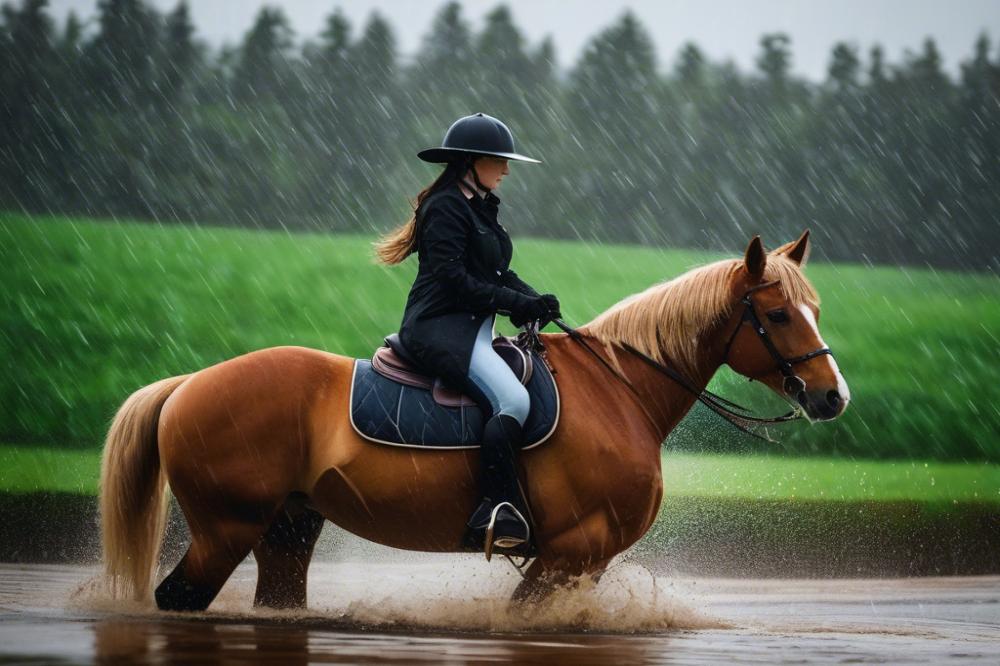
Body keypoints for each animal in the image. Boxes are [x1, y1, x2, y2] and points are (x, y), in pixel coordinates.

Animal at [99, 231, 852, 608]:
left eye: (817, 309)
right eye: (778, 313)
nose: (832, 396)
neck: (619, 390)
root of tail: (190, 384)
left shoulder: (584, 560)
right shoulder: (572, 550)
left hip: (286, 529)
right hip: (225, 528)